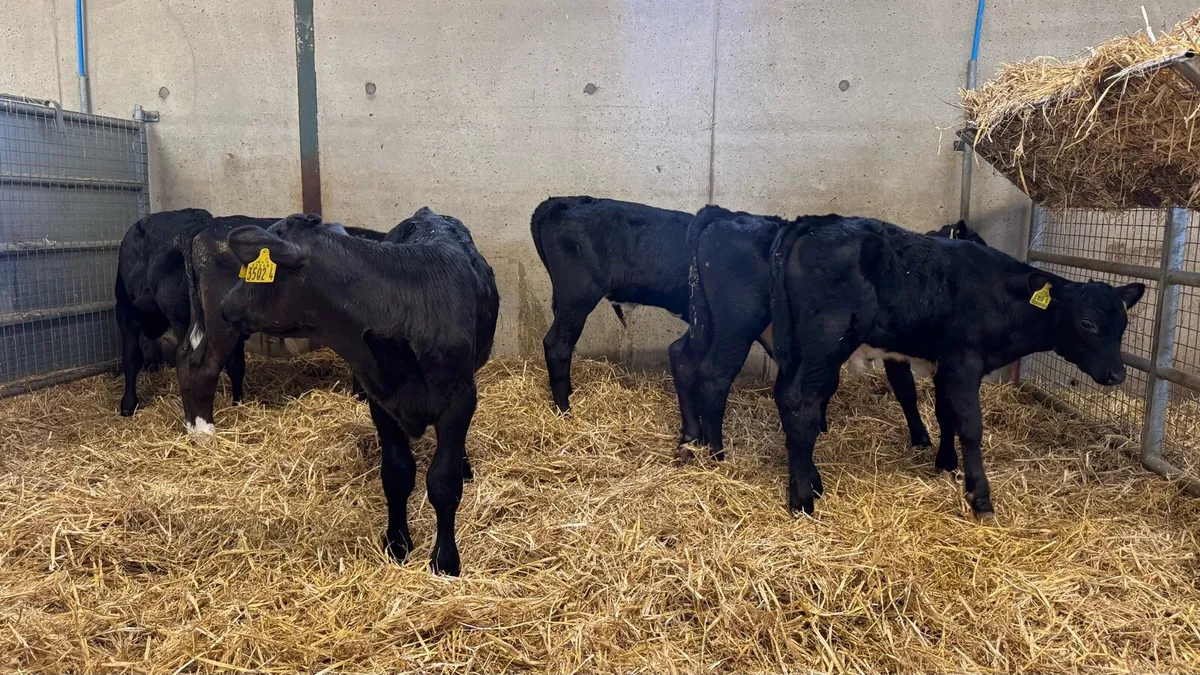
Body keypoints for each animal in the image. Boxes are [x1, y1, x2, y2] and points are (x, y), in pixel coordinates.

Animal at [219, 209, 499, 576]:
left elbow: (443, 480)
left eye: (255, 272)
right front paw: (397, 544)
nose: (225, 304)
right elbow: (397, 474)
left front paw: (445, 560)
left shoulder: (460, 397)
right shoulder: (382, 399)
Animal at [669, 205, 986, 460]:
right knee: (715, 376)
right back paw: (717, 453)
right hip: (737, 325)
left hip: (705, 321)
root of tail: (725, 216)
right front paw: (926, 442)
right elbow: (913, 392)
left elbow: (905, 389)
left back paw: (691, 438)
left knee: (683, 357)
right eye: (977, 243)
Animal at [769, 214, 1144, 517]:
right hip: (824, 343)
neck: (999, 296)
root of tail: (813, 223)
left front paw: (946, 463)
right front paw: (980, 496)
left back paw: (812, 481)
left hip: (798, 350)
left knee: (787, 399)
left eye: (1123, 323)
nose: (1118, 374)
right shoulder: (965, 361)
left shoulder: (945, 362)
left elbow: (945, 414)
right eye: (1087, 323)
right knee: (800, 403)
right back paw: (803, 499)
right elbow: (971, 426)